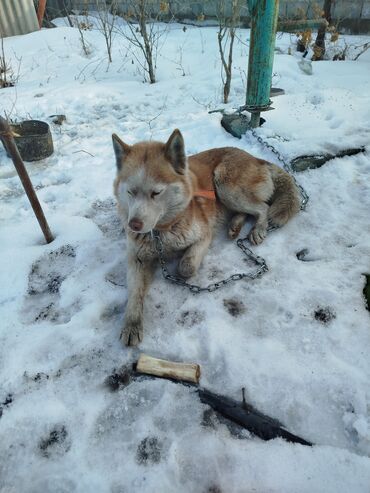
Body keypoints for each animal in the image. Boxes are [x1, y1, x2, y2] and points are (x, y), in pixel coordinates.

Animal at [112, 131, 300, 346]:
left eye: (156, 192)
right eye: (130, 191)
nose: (133, 225)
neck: (161, 233)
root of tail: (256, 158)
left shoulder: (204, 235)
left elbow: (186, 266)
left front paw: (183, 268)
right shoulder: (137, 258)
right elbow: (135, 293)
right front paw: (132, 324)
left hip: (225, 185)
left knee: (262, 207)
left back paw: (258, 228)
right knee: (247, 211)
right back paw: (235, 226)